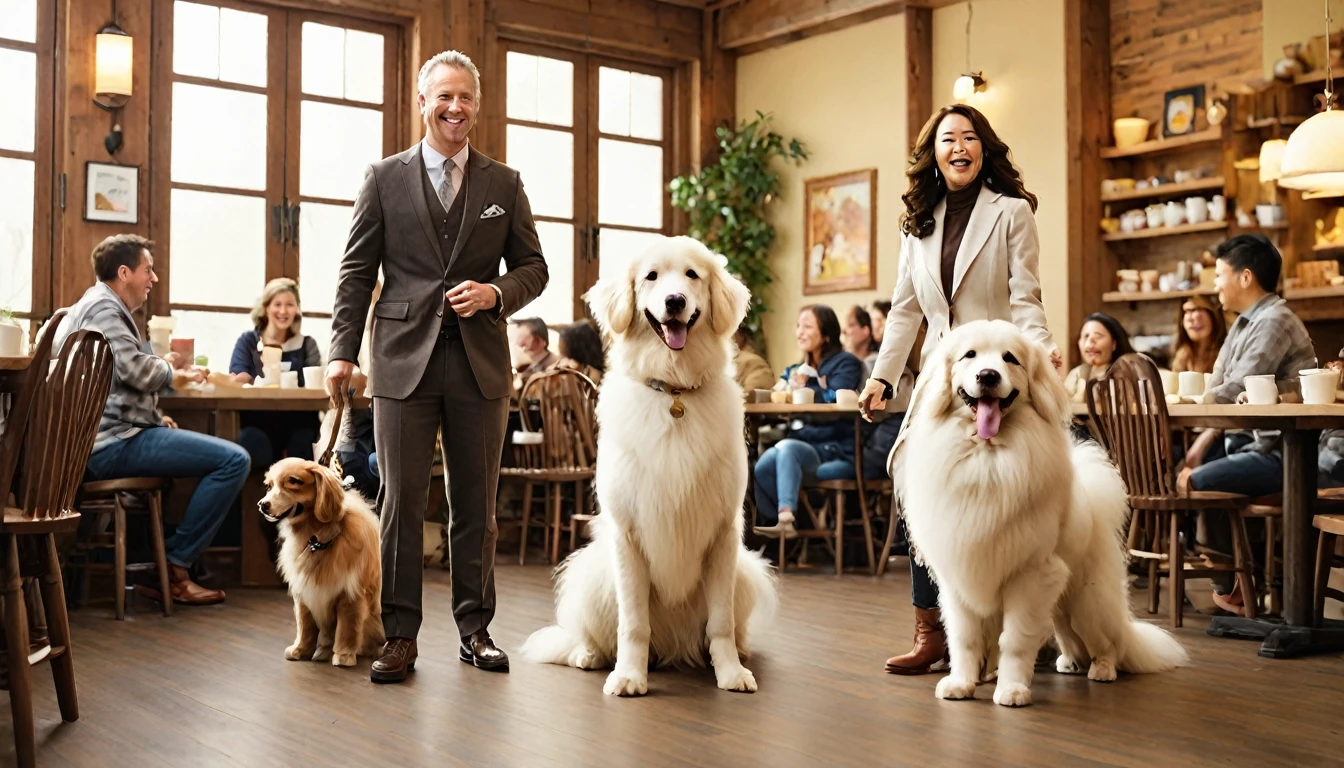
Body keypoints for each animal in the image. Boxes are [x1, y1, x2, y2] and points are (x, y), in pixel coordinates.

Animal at [259, 457, 384, 667]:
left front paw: (343, 655)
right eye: (269, 486)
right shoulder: (303, 591)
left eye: (293, 481)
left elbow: (347, 628)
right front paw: (300, 650)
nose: (262, 504)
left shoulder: (350, 593)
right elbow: (305, 626)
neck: (317, 540)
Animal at [521, 235, 779, 699]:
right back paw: (590, 656)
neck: (673, 391)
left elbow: (721, 623)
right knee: (591, 637)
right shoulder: (628, 534)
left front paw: (731, 673)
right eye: (651, 277)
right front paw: (628, 676)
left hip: (746, 573)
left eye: (692, 275)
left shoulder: (723, 534)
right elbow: (633, 624)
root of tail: (673, 649)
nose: (675, 301)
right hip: (592, 575)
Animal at [892, 320, 1188, 710]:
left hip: (1085, 603)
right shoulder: (961, 577)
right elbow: (965, 640)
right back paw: (1069, 663)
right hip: (1061, 606)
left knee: (1109, 641)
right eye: (969, 356)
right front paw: (962, 684)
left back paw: (1102, 669)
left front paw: (1012, 690)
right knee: (1070, 639)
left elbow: (1015, 640)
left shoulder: (1030, 576)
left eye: (1009, 358)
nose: (988, 375)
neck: (986, 458)